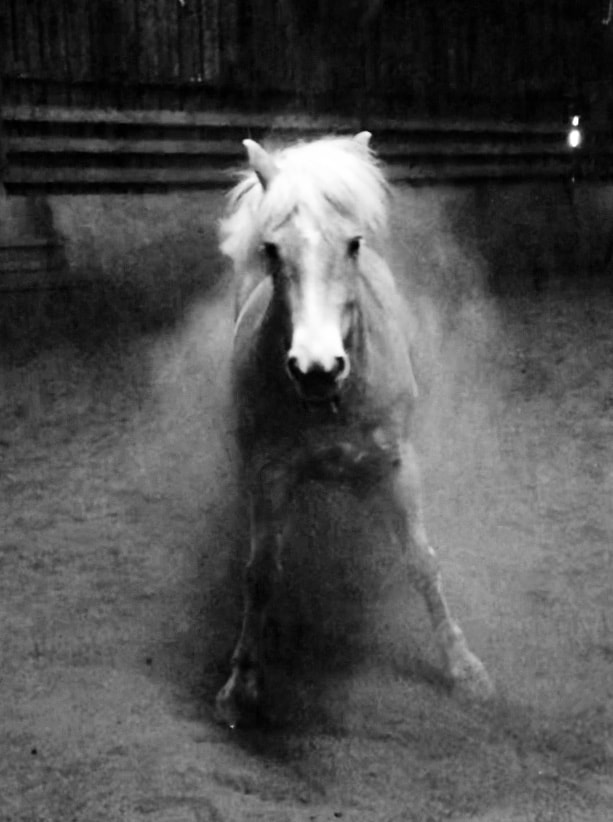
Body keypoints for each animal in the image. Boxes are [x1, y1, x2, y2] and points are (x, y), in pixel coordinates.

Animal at [215, 132, 493, 727]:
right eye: (271, 249)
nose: (317, 368)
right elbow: (261, 574)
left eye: (353, 244)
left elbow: (422, 563)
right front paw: (241, 684)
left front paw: (464, 669)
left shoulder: (396, 464)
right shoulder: (270, 472)